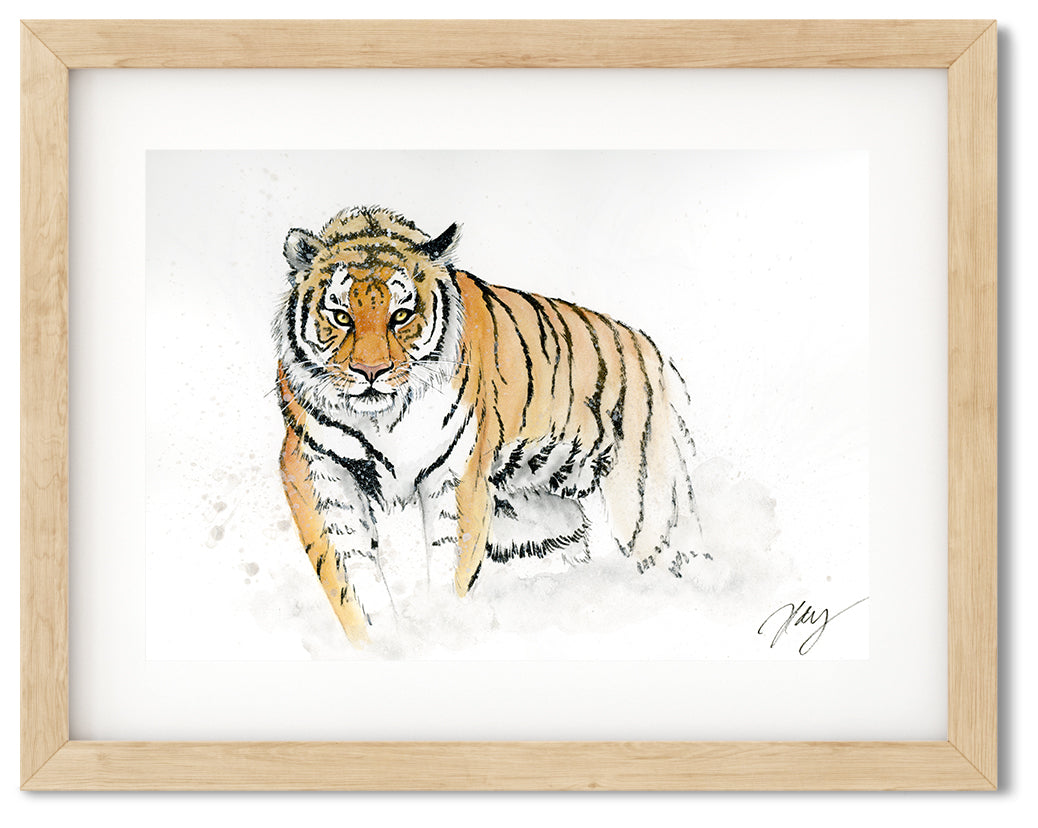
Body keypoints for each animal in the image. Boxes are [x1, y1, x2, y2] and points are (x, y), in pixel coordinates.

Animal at [274, 206, 715, 646]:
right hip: (539, 528)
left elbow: (450, 564)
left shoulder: (455, 475)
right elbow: (350, 575)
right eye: (341, 317)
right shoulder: (314, 465)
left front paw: (440, 627)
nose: (371, 371)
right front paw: (384, 643)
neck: (384, 417)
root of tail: (650, 348)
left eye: (401, 316)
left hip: (650, 506)